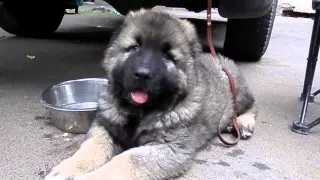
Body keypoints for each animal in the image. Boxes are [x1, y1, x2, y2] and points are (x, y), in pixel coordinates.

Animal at [45, 8, 258, 180]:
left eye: (168, 56)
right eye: (134, 48)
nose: (142, 74)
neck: (138, 112)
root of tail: (221, 59)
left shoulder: (167, 147)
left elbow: (126, 160)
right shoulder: (104, 127)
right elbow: (91, 148)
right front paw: (67, 169)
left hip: (237, 90)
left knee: (252, 106)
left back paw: (243, 123)